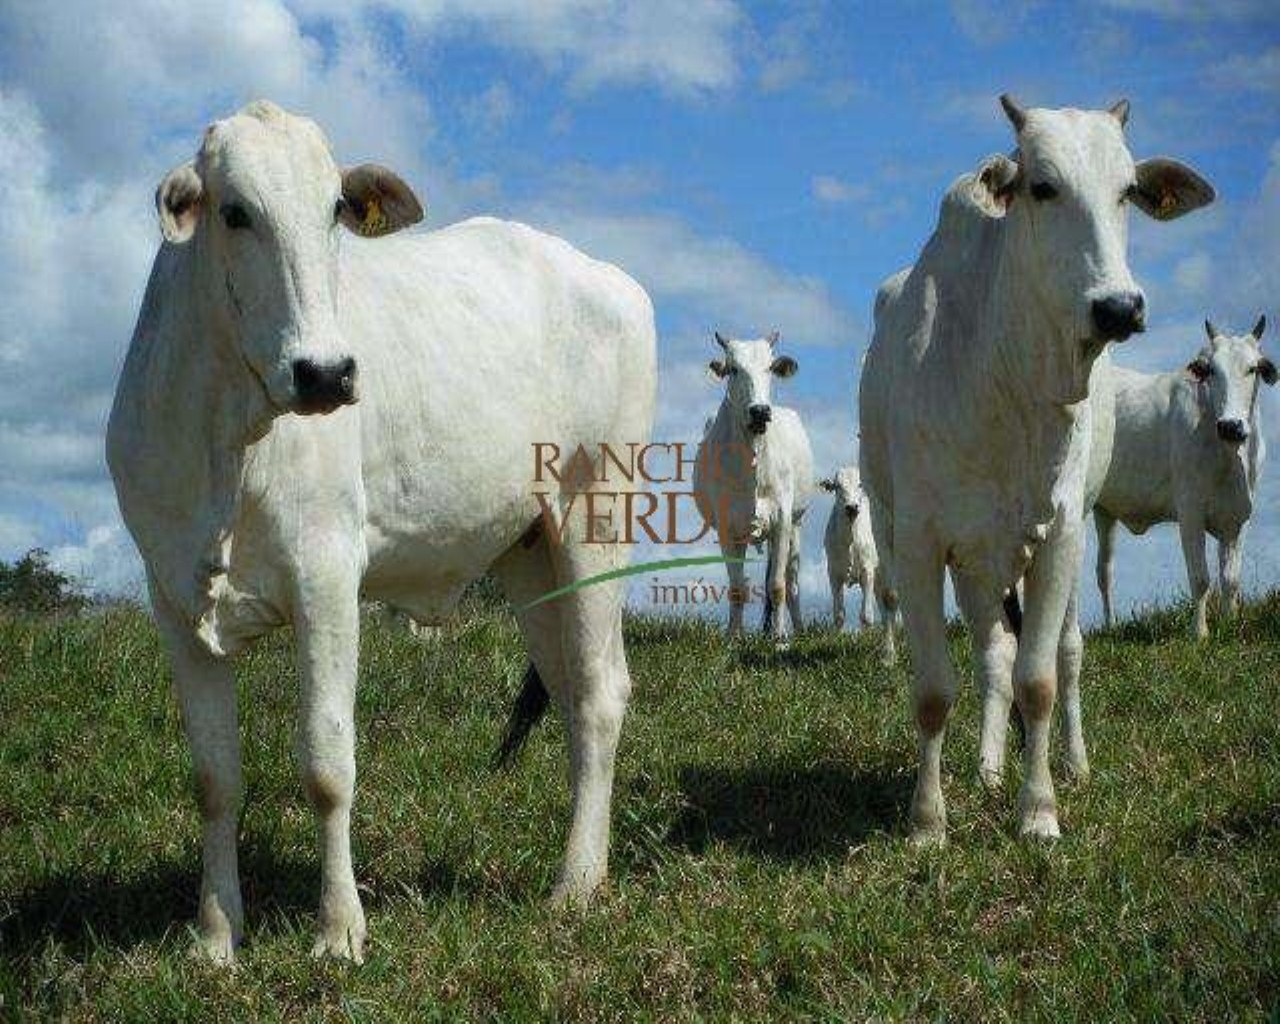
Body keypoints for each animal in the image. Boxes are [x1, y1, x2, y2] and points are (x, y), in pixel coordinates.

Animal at [104, 99, 655, 962]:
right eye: (235, 212)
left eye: (335, 206)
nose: (326, 373)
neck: (225, 436)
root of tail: (600, 273)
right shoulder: (174, 600)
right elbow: (215, 778)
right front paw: (216, 938)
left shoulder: (328, 579)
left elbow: (328, 763)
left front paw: (339, 930)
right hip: (530, 552)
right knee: (570, 693)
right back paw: (581, 859)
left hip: (597, 511)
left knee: (602, 694)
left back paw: (576, 886)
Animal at [696, 332, 814, 640]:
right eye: (733, 369)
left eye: (770, 367)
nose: (760, 411)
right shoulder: (728, 529)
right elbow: (738, 587)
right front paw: (733, 638)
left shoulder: (782, 521)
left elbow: (777, 585)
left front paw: (779, 639)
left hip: (796, 525)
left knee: (791, 580)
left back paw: (796, 629)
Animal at [824, 465, 875, 627]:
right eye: (837, 486)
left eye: (860, 484)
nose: (852, 507)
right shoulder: (833, 573)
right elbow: (839, 616)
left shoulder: (868, 571)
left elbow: (866, 616)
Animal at [860, 96, 1208, 844]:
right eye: (1042, 187)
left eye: (1128, 191)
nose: (1119, 306)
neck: (1005, 381)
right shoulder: (922, 542)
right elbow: (935, 690)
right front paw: (927, 822)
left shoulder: (1059, 535)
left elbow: (1040, 681)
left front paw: (1040, 812)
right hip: (969, 557)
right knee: (993, 654)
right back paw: (990, 768)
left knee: (1066, 653)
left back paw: (1072, 764)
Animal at [1095, 316, 1274, 634]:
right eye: (1211, 369)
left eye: (1253, 368)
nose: (1230, 426)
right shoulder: (1190, 510)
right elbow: (1201, 578)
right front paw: (1199, 633)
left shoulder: (1240, 515)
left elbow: (1230, 579)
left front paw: (1229, 624)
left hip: (1104, 509)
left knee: (1105, 571)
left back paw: (1111, 626)